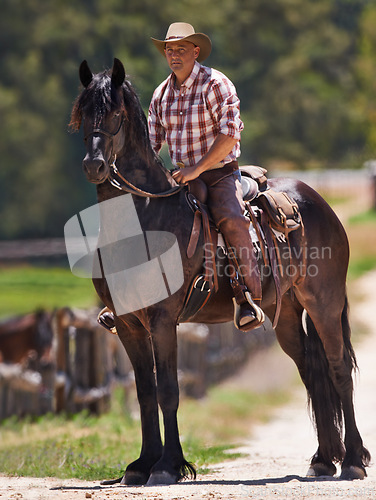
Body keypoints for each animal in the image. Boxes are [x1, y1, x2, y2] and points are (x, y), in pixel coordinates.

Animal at [70, 57, 370, 484]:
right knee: (312, 373)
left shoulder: (163, 319)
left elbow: (168, 390)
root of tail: (317, 201)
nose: (94, 165)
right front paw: (140, 465)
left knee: (339, 367)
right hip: (286, 315)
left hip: (324, 303)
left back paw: (353, 461)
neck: (144, 219)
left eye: (114, 113)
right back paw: (323, 460)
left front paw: (168, 466)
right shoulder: (129, 324)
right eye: (82, 113)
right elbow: (145, 392)